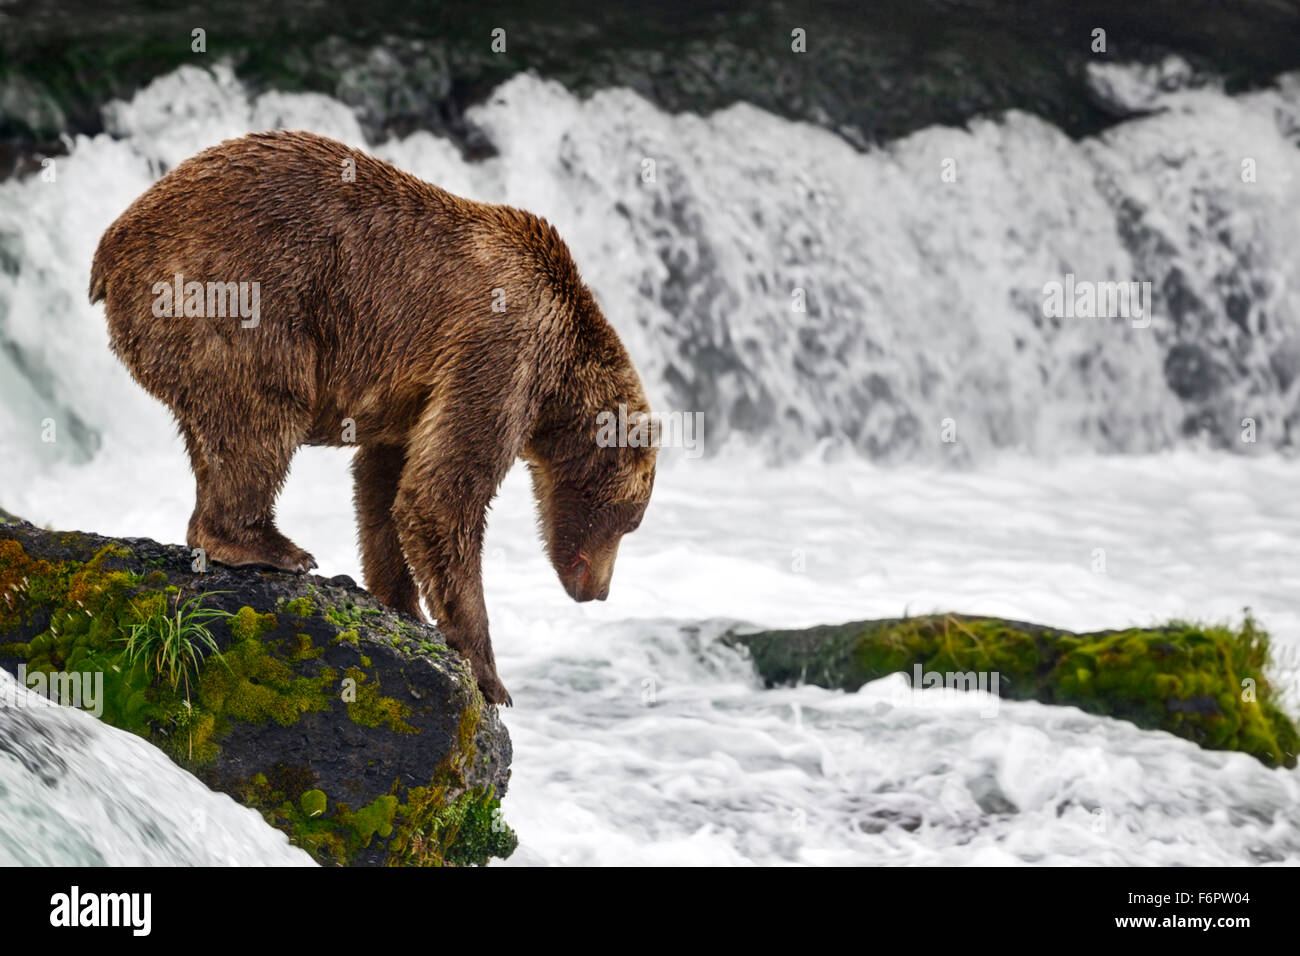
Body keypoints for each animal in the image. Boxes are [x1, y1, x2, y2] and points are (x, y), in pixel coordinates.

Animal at [89, 128, 660, 702]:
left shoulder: (417, 395)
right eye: (631, 521)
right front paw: (489, 673)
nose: (601, 591)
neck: (562, 378)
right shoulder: (504, 348)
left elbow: (386, 483)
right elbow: (444, 491)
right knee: (263, 414)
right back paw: (270, 547)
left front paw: (403, 604)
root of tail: (110, 249)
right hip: (236, 292)